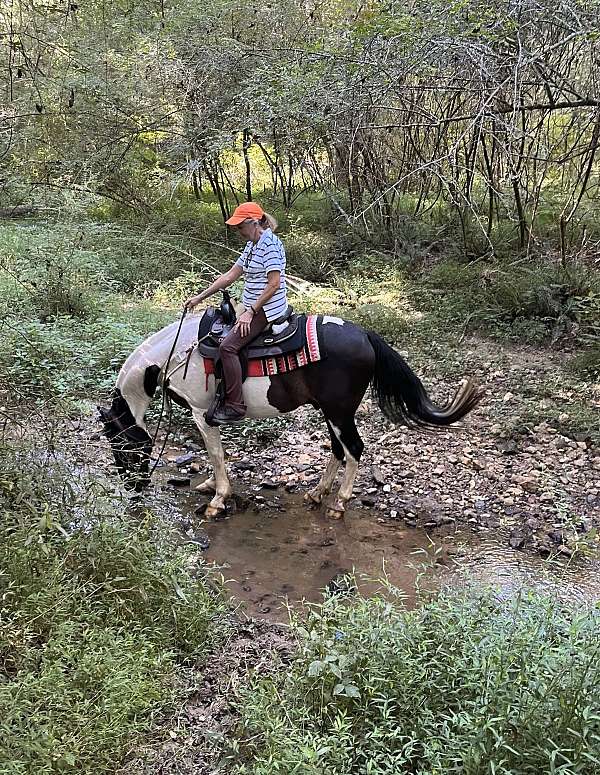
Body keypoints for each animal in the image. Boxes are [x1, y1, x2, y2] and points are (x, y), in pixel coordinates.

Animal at [98, 306, 482, 520]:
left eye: (121, 446)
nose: (134, 488)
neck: (177, 353)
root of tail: (365, 335)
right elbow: (214, 452)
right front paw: (209, 485)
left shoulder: (200, 411)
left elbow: (216, 453)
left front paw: (219, 498)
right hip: (330, 411)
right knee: (337, 449)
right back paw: (317, 493)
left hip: (339, 411)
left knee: (353, 449)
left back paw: (339, 503)